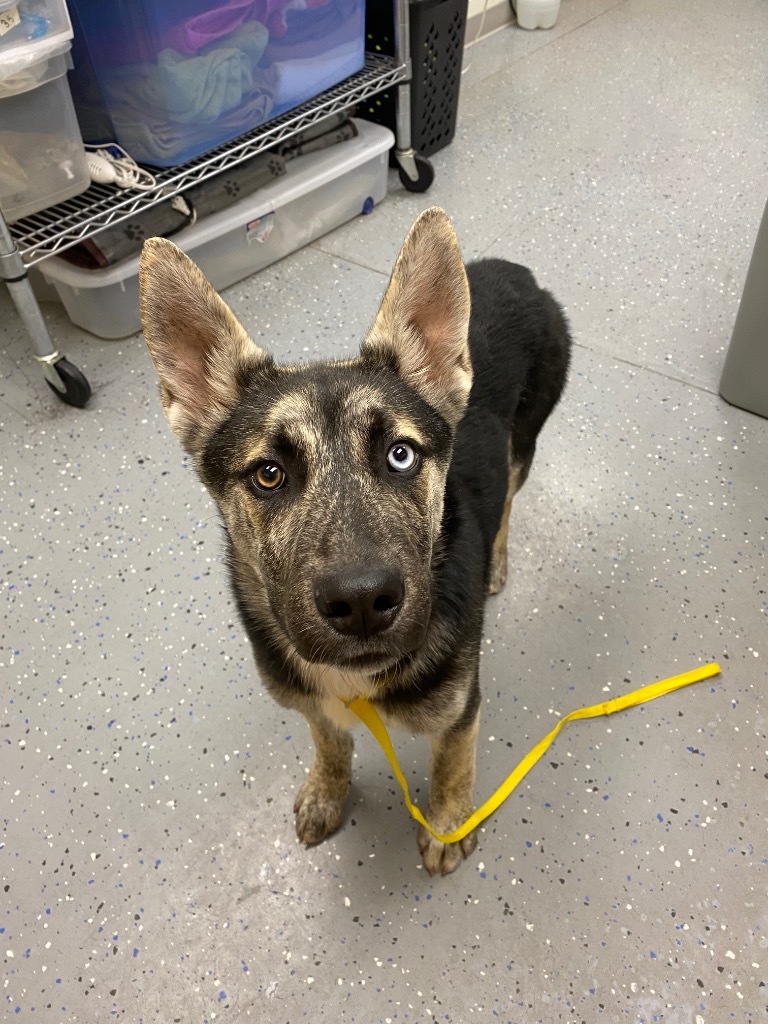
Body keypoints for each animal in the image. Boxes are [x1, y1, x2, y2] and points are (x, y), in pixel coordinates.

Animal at [140, 205, 573, 872]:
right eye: (269, 474)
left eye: (400, 455)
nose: (364, 602)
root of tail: (517, 273)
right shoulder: (315, 704)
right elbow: (328, 741)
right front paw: (328, 790)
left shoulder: (460, 708)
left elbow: (453, 762)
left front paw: (448, 821)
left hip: (523, 443)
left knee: (506, 504)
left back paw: (497, 563)